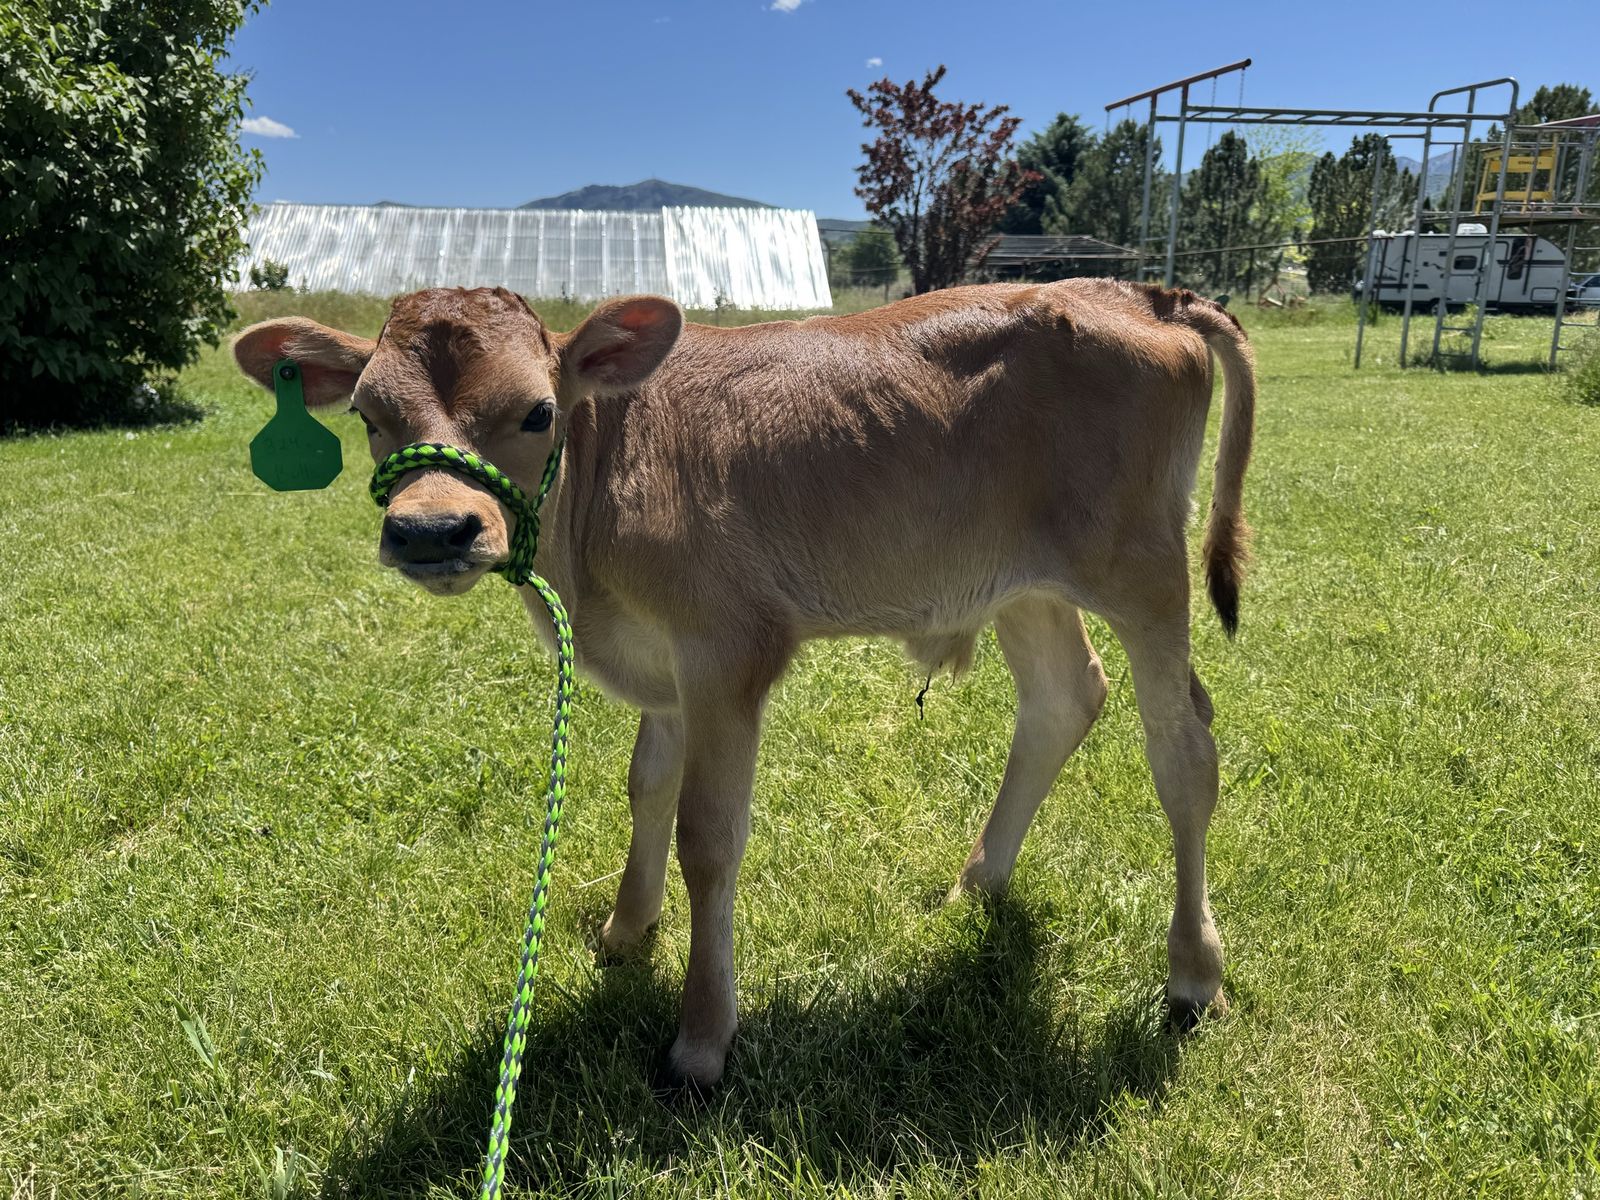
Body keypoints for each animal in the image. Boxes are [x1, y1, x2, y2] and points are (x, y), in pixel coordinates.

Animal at [233, 278, 1255, 1089]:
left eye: (535, 412)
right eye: (369, 418)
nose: (432, 531)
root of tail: (1137, 292)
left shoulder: (726, 651)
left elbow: (708, 838)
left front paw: (700, 1038)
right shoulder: (666, 664)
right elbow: (647, 787)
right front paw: (625, 931)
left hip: (1143, 569)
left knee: (1184, 751)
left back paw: (1193, 973)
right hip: (1023, 582)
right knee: (1063, 698)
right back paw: (976, 883)